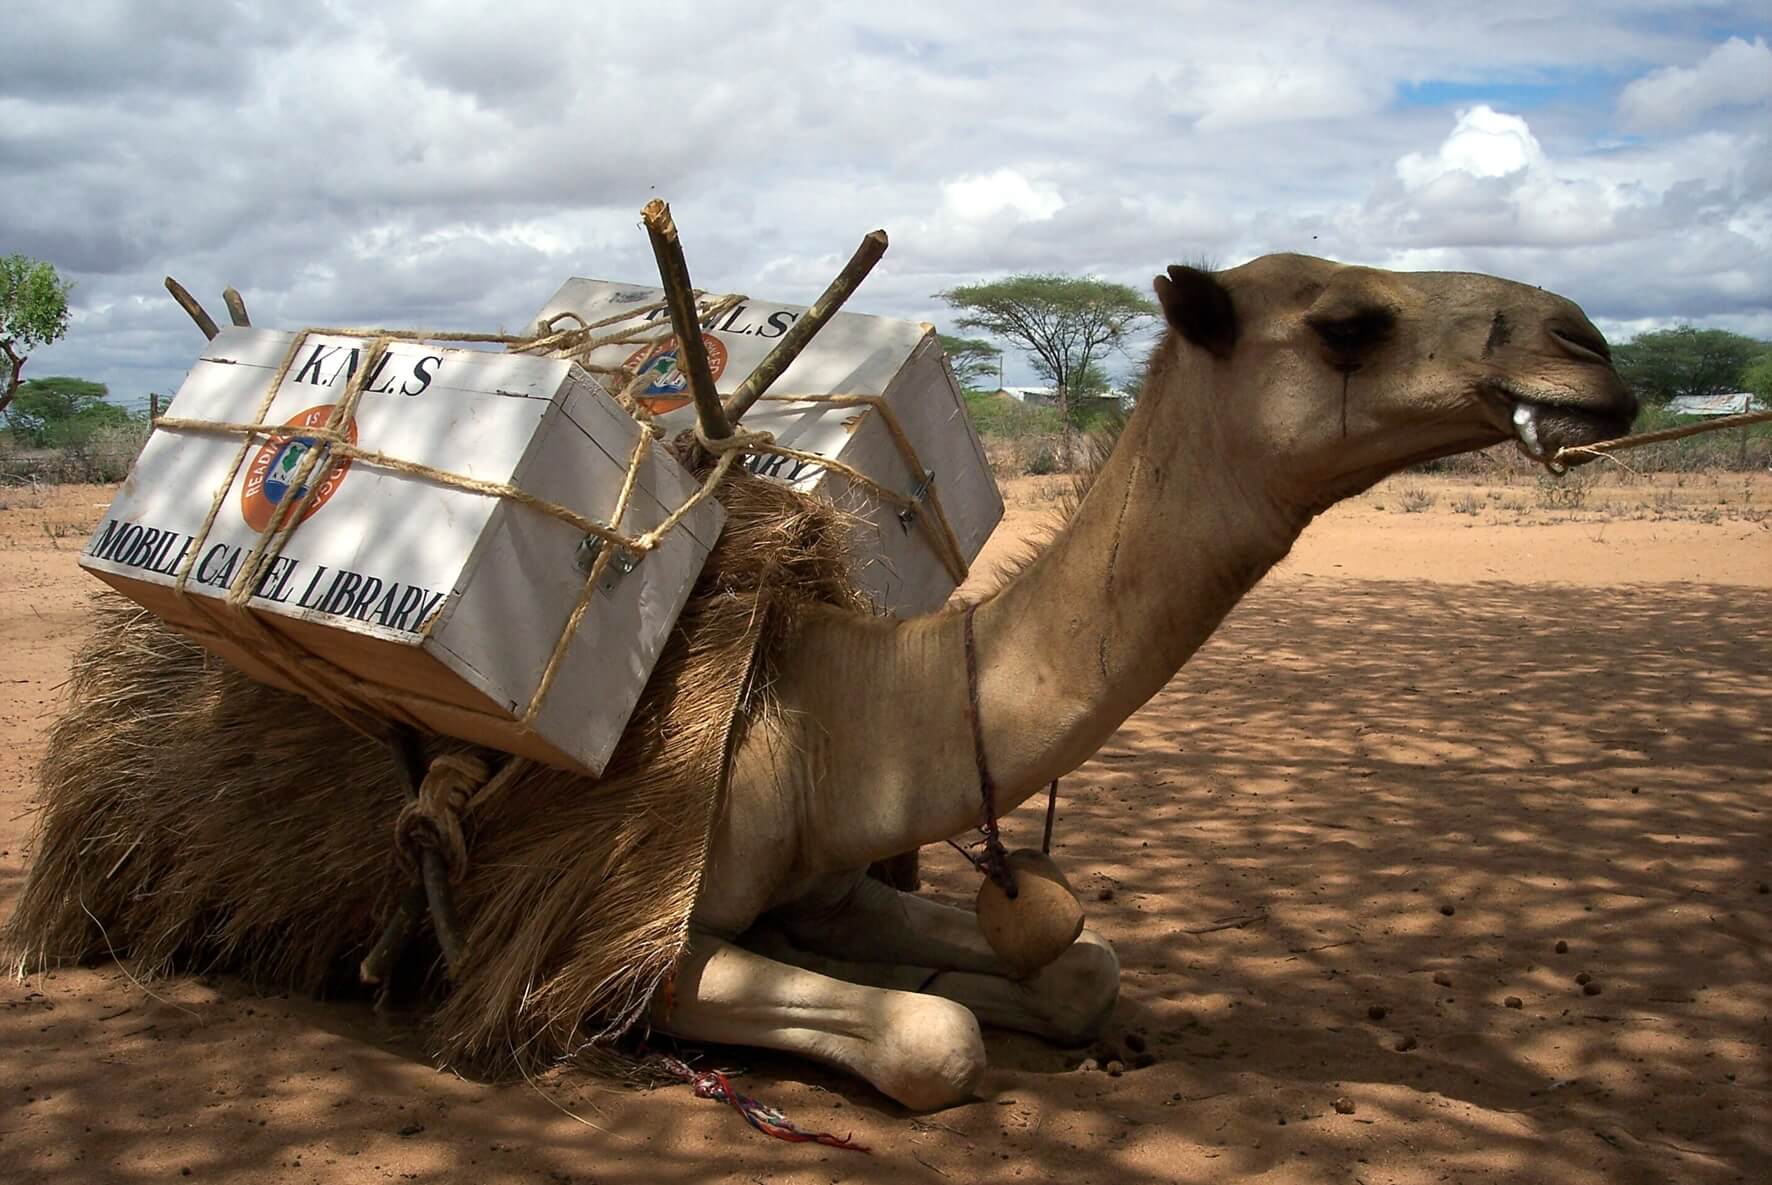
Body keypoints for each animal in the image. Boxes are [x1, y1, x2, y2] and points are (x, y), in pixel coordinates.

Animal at [641, 251, 1630, 1112]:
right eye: (1349, 323)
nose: (1588, 348)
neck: (818, 716)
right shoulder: (635, 940)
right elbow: (934, 1036)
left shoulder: (833, 890)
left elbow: (1084, 969)